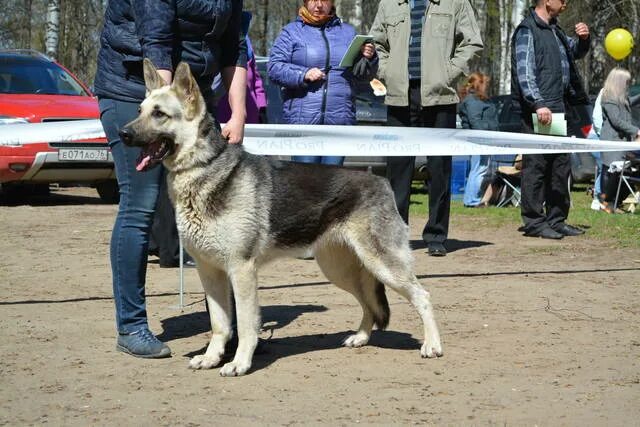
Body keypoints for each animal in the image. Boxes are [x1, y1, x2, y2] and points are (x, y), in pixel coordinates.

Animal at [119, 60, 440, 378]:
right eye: (139, 111)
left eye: (159, 114)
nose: (122, 134)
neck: (204, 168)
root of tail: (381, 181)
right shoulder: (209, 272)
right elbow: (219, 325)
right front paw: (211, 358)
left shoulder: (241, 271)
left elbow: (245, 325)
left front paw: (240, 363)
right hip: (340, 270)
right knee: (368, 304)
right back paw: (361, 337)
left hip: (384, 266)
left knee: (422, 296)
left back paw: (432, 346)